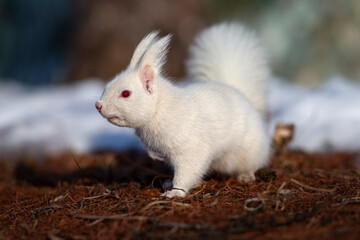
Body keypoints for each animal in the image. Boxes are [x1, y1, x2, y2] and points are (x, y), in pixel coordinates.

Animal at [95, 22, 270, 198]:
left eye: (126, 93)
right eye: (107, 85)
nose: (98, 105)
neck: (159, 110)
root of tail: (242, 95)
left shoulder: (191, 148)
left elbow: (187, 171)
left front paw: (175, 193)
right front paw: (165, 173)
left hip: (249, 150)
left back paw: (246, 175)